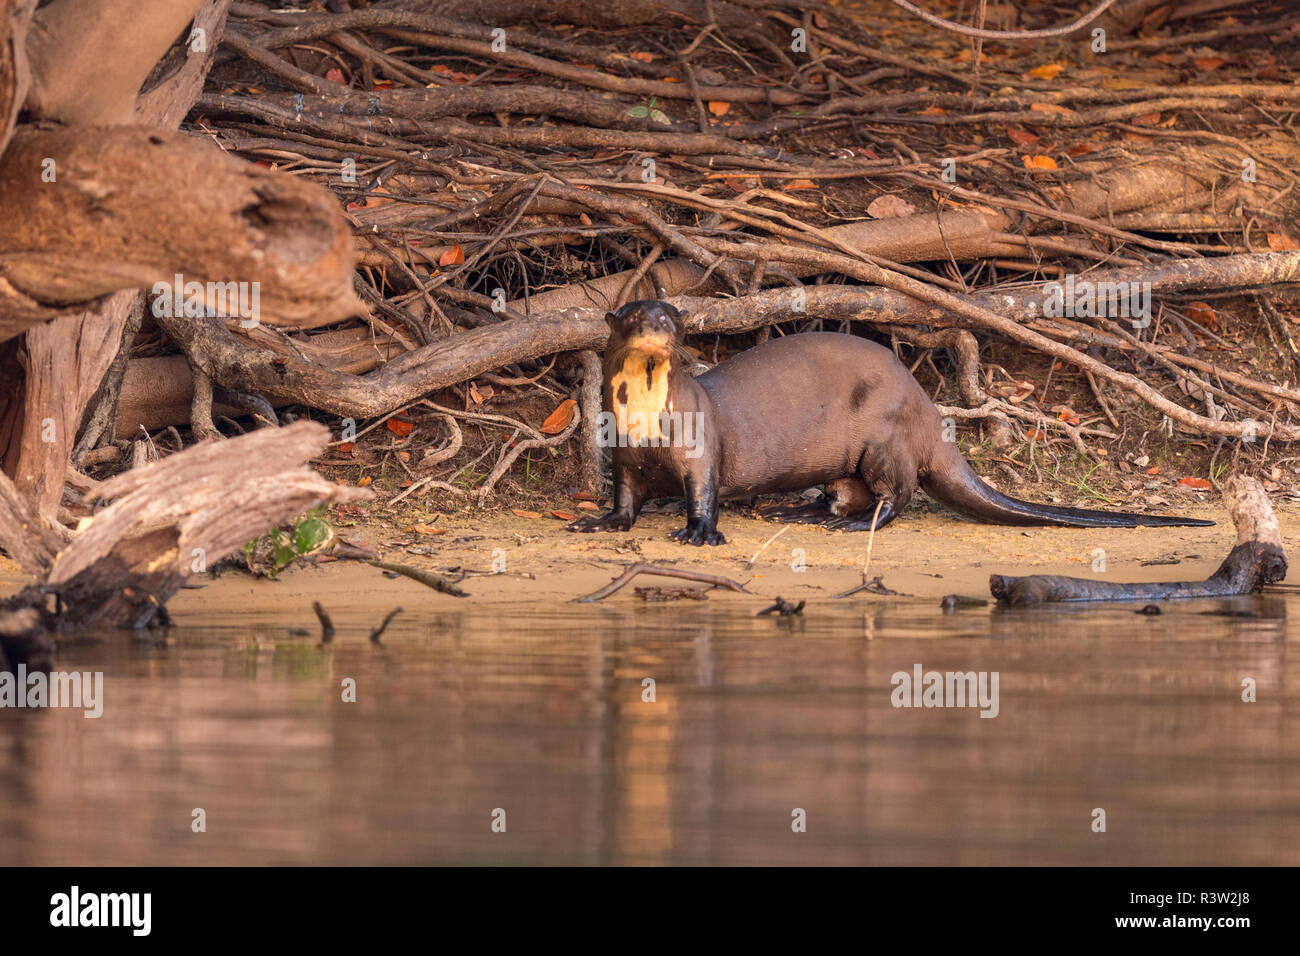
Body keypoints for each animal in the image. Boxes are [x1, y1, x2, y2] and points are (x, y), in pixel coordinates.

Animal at [569, 303, 1206, 548]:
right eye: (635, 313)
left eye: (673, 316)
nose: (658, 324)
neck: (645, 417)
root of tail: (926, 410)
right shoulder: (623, 455)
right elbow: (624, 497)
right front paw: (602, 522)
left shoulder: (701, 447)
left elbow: (703, 492)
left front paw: (699, 532)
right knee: (845, 491)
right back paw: (803, 511)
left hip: (884, 437)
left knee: (897, 493)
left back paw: (858, 523)